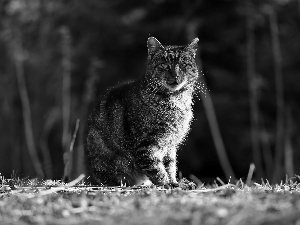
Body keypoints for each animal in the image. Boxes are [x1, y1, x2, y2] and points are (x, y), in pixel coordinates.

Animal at [84, 37, 200, 186]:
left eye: (183, 65)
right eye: (164, 65)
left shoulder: (170, 145)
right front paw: (166, 183)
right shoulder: (147, 143)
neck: (176, 101)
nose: (176, 76)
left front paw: (174, 182)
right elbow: (156, 168)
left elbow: (170, 165)